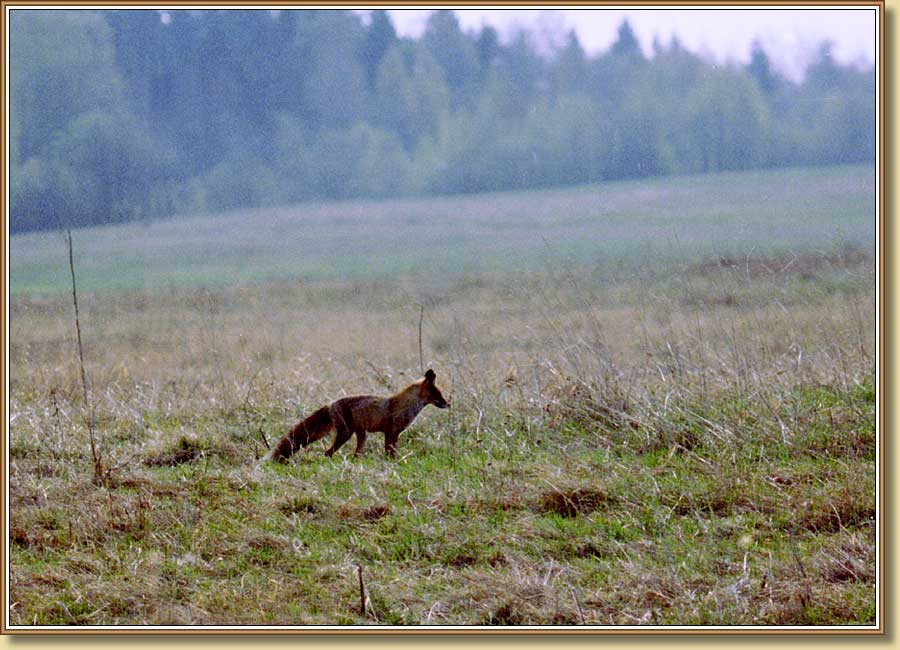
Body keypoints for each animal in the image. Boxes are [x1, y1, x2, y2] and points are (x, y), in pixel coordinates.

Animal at [266, 369, 450, 462]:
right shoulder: (391, 433)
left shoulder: (391, 434)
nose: (449, 404)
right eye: (439, 395)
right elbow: (390, 454)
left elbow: (390, 453)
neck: (405, 406)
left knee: (353, 454)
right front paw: (394, 463)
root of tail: (331, 403)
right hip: (345, 434)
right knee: (328, 453)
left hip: (361, 435)